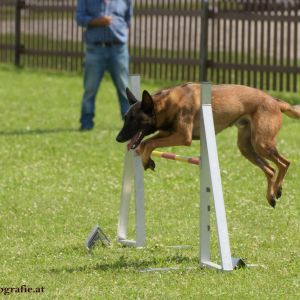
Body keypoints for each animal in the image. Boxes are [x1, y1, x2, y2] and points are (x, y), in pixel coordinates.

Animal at [115, 83, 300, 207]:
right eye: (126, 118)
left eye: (135, 119)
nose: (118, 138)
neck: (167, 104)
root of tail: (275, 101)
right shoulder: (168, 133)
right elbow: (146, 142)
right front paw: (147, 160)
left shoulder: (183, 137)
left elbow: (151, 142)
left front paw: (147, 160)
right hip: (247, 147)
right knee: (270, 169)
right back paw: (271, 196)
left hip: (262, 143)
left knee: (284, 163)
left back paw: (278, 189)